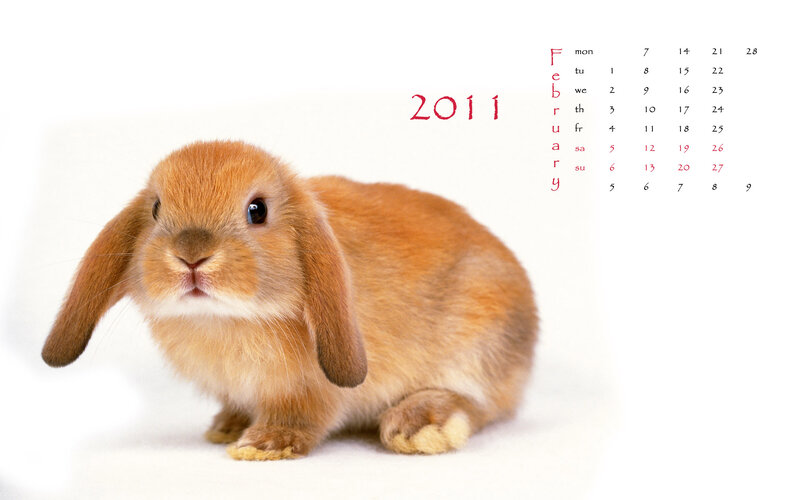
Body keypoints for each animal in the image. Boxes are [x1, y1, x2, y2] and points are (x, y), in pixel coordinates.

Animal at [41, 140, 538, 460]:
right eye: (157, 209)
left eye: (257, 210)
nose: (191, 255)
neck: (225, 319)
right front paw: (228, 427)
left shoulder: (311, 390)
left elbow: (304, 416)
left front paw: (262, 445)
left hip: (477, 345)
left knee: (477, 403)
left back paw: (418, 426)